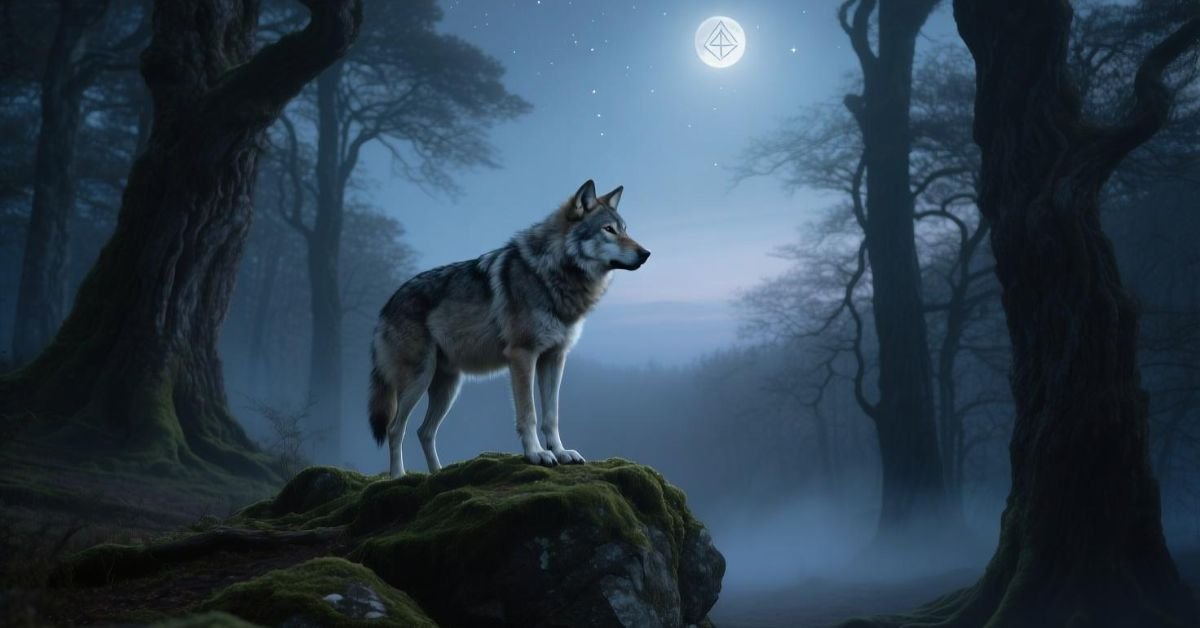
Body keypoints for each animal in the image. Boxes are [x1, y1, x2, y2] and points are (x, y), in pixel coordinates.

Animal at [368, 180, 651, 477]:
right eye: (608, 230)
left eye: (625, 229)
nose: (646, 253)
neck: (552, 274)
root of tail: (386, 305)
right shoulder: (522, 355)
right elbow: (529, 413)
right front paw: (537, 454)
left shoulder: (554, 357)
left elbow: (552, 416)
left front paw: (561, 452)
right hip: (418, 380)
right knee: (395, 428)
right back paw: (398, 477)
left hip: (449, 387)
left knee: (424, 431)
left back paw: (438, 474)